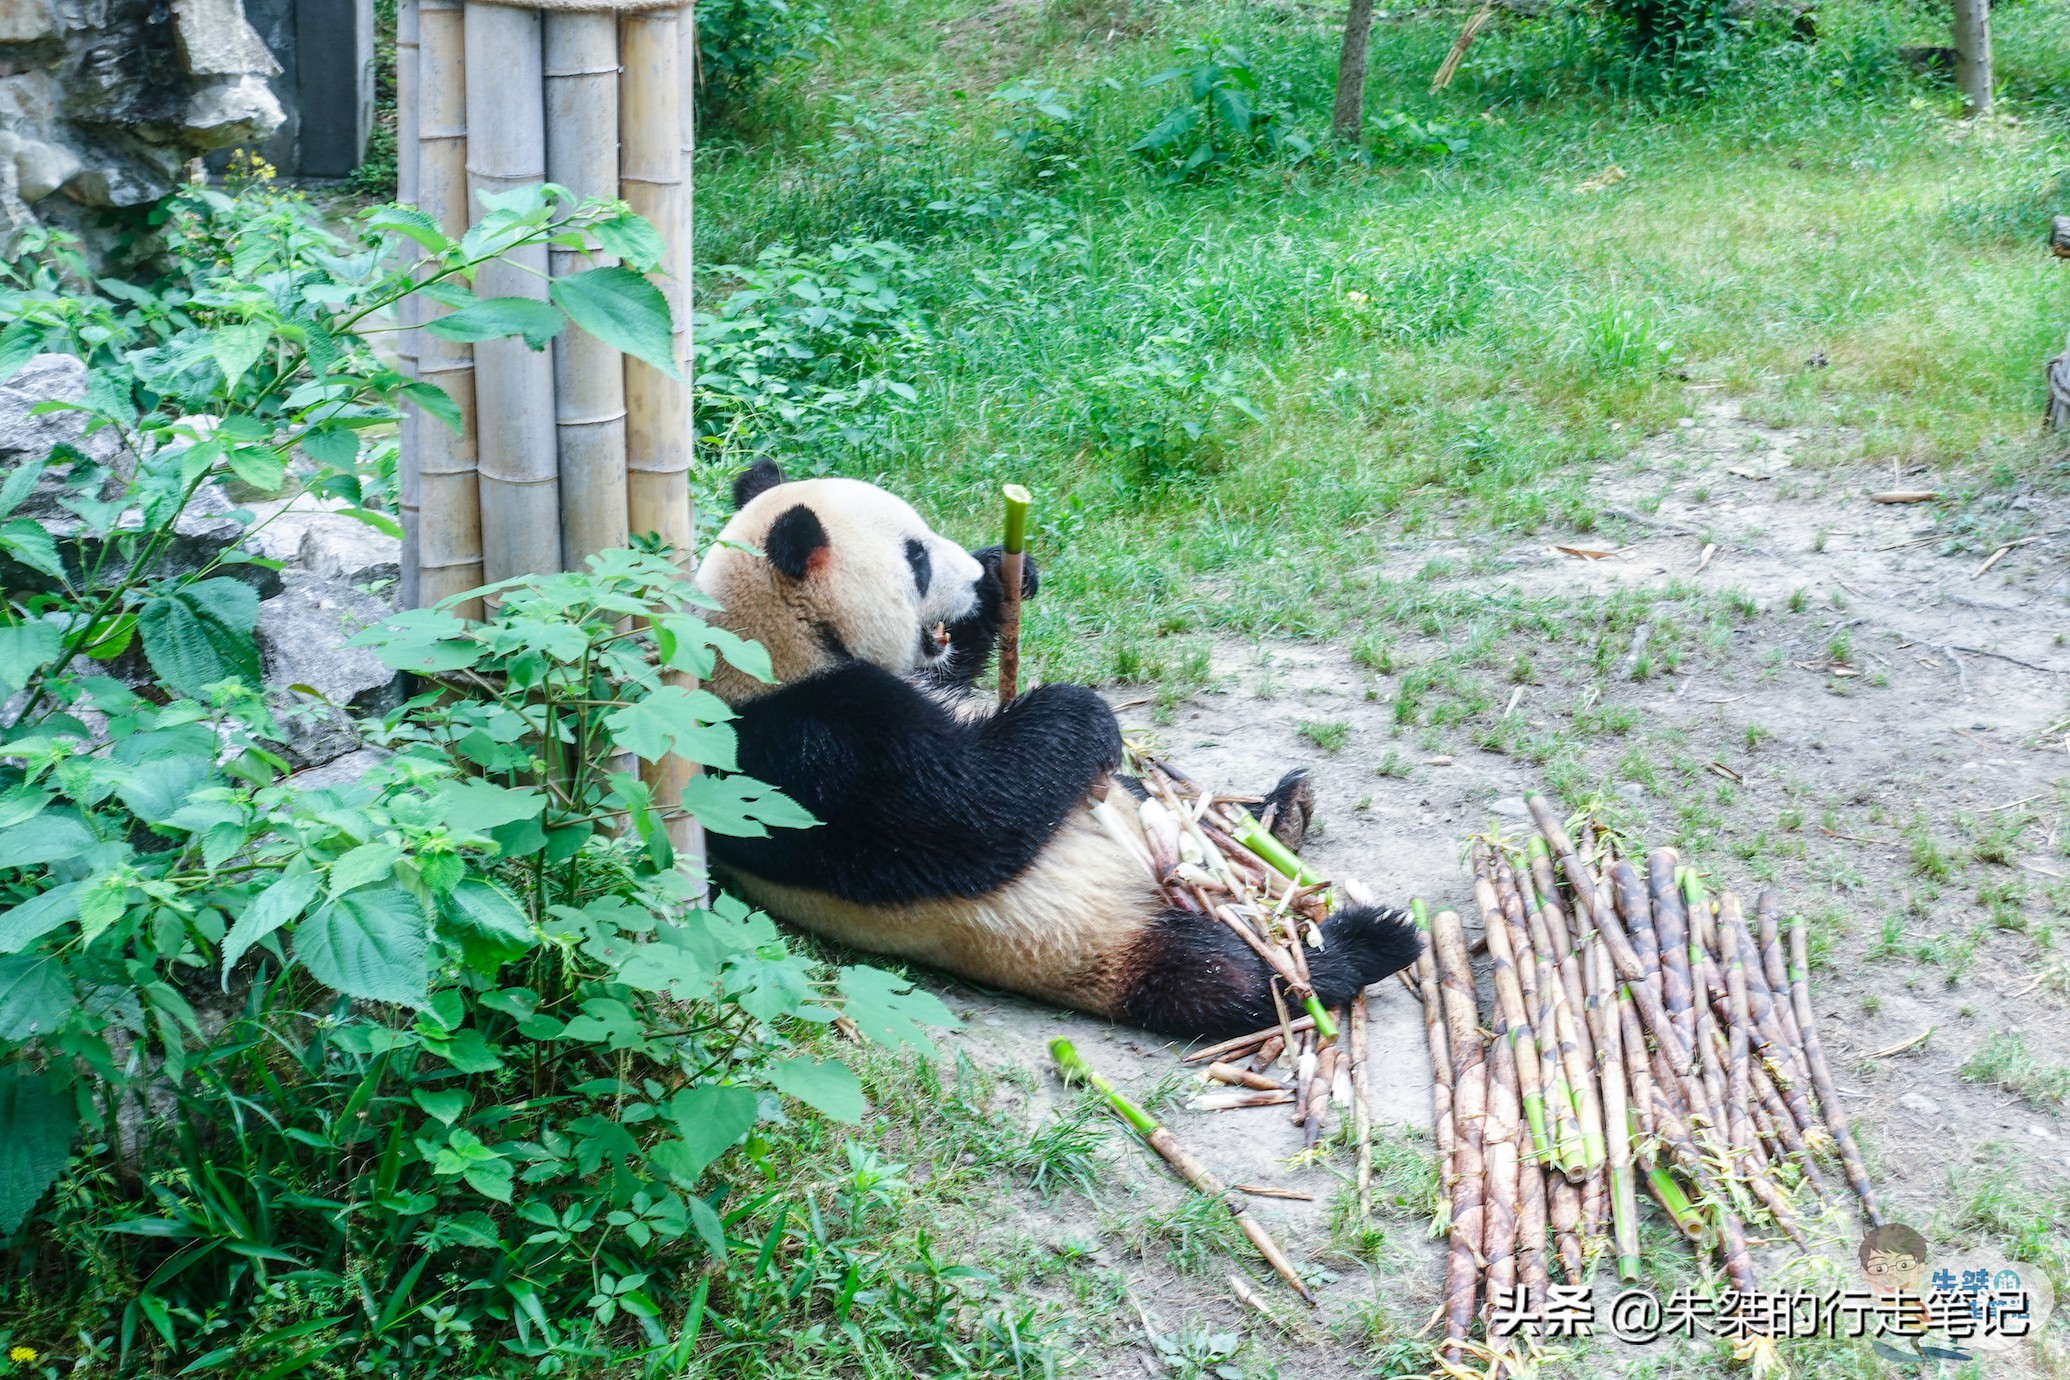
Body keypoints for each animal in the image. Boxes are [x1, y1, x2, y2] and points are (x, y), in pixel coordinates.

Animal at [699, 459, 1424, 1042]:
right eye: (918, 559)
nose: (968, 576)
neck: (763, 648)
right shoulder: (803, 751)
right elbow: (967, 814)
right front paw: (1084, 712)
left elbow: (964, 678)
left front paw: (1005, 575)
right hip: (1094, 941)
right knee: (1227, 980)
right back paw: (1367, 941)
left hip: (1159, 831)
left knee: (1192, 818)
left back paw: (1279, 815)